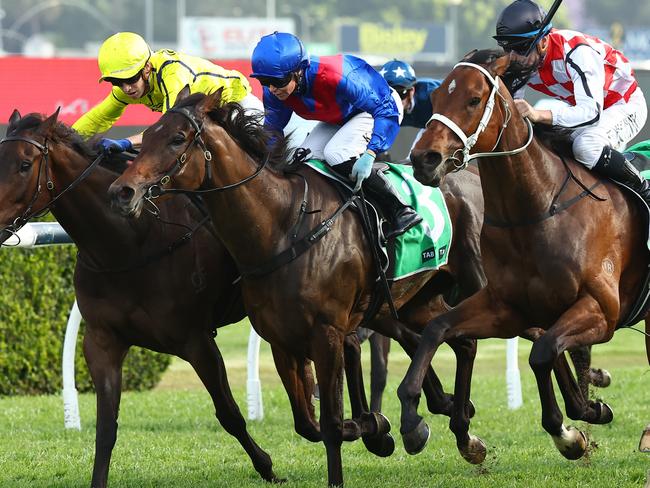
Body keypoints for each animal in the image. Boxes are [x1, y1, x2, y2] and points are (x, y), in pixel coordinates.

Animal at [106, 89, 488, 486]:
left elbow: (331, 424)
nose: (122, 191)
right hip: (416, 298)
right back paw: (461, 433)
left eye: (177, 139)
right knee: (459, 339)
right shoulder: (281, 340)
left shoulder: (327, 334)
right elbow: (308, 424)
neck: (282, 226)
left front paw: (360, 445)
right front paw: (378, 428)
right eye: (149, 135)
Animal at [400, 49, 648, 466]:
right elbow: (438, 329)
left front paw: (569, 433)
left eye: (473, 99)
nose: (424, 159)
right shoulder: (505, 307)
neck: (537, 210)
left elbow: (542, 353)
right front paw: (415, 421)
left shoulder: (601, 310)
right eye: (433, 99)